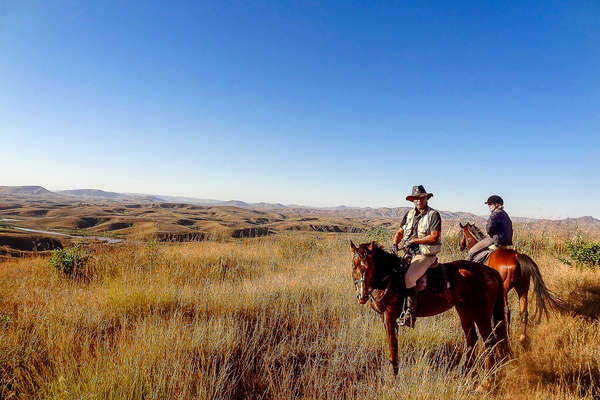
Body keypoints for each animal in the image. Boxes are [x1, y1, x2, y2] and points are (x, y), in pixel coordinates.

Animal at [352, 241, 510, 378]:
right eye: (354, 267)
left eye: (368, 267)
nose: (362, 295)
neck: (390, 277)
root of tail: (491, 271)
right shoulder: (384, 317)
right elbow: (392, 345)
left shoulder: (389, 316)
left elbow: (392, 347)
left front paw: (394, 377)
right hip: (464, 310)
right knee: (472, 339)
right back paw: (465, 372)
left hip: (481, 314)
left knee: (490, 342)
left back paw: (488, 379)